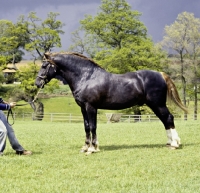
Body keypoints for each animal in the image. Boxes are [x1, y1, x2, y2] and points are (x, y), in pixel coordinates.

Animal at [34, 51, 188, 154]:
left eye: (44, 65)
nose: (37, 83)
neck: (86, 77)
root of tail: (160, 74)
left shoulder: (91, 107)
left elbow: (93, 127)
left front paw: (92, 148)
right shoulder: (83, 108)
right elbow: (86, 127)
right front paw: (85, 147)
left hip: (158, 104)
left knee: (168, 118)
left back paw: (175, 144)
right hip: (155, 105)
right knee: (165, 120)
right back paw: (169, 143)